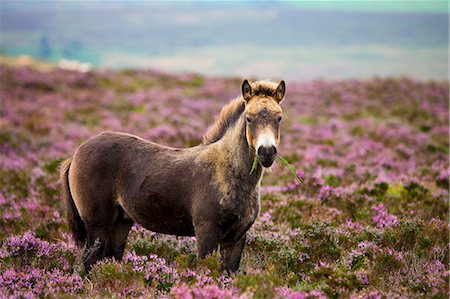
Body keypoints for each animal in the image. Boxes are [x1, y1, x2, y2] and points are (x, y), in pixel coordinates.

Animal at [59, 79, 286, 274]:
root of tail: (76, 154)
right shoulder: (206, 231)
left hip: (120, 223)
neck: (229, 173)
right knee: (90, 262)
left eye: (279, 118)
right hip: (97, 225)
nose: (266, 152)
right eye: (249, 118)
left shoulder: (237, 238)